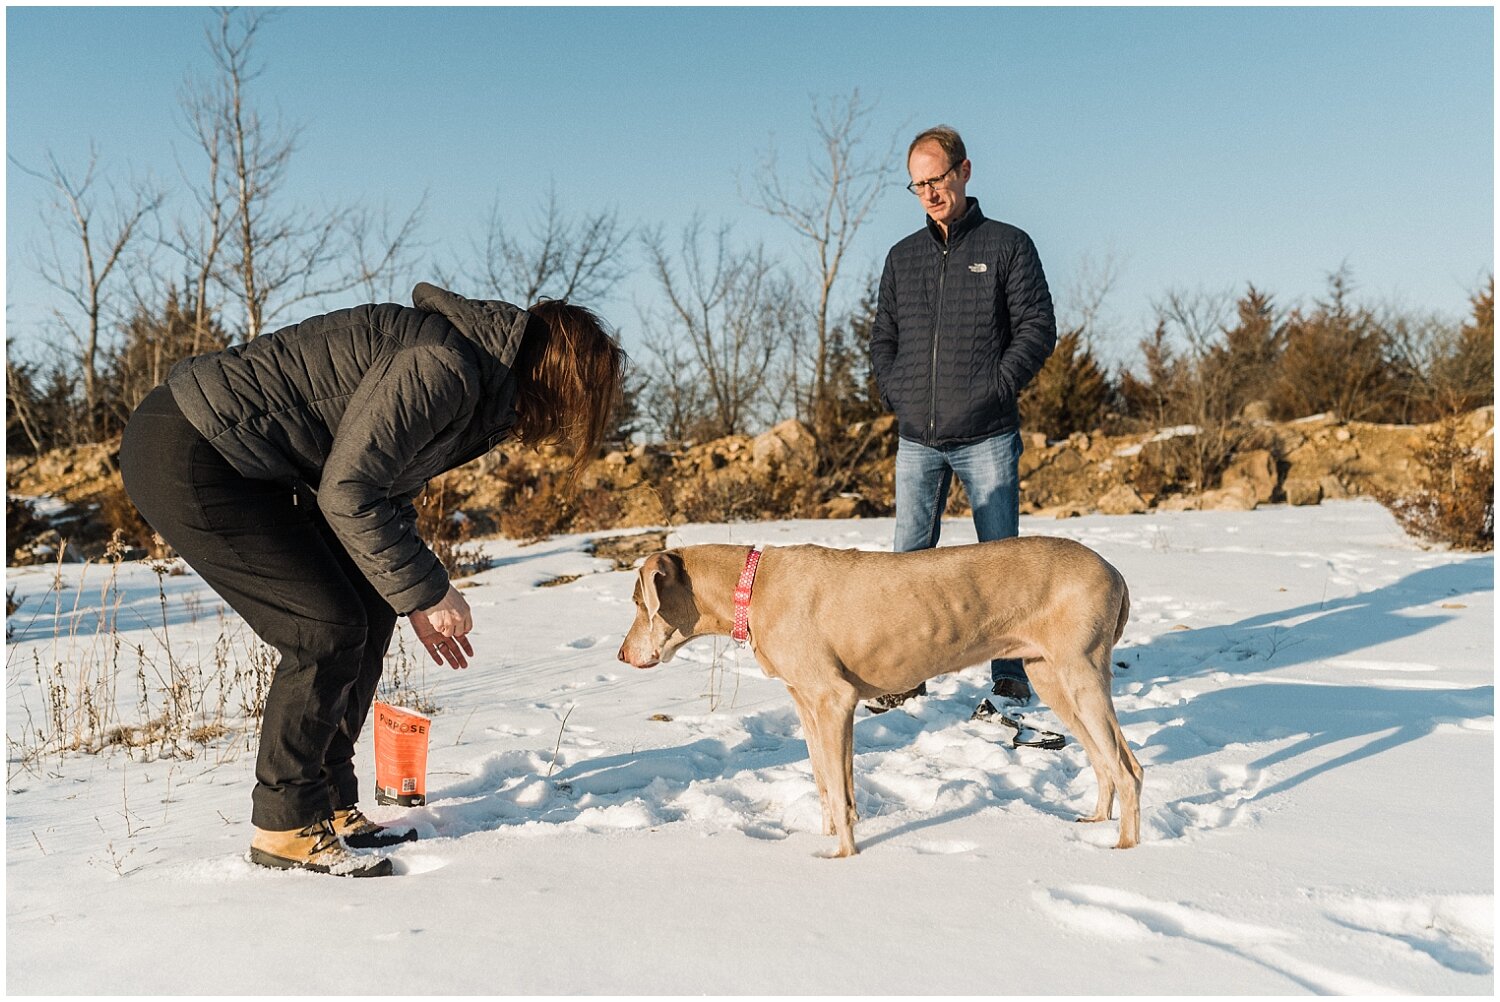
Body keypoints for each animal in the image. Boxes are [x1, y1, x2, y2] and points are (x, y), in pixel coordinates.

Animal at [615, 537, 1140, 858]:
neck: (752, 587)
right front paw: (826, 838)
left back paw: (1125, 851)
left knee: (1128, 768)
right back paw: (1094, 822)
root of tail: (1115, 569)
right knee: (1105, 761)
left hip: (1079, 671)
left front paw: (843, 857)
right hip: (1049, 674)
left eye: (640, 603)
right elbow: (829, 785)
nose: (621, 655)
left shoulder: (833, 699)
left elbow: (838, 789)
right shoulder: (809, 704)